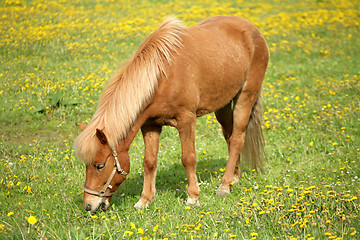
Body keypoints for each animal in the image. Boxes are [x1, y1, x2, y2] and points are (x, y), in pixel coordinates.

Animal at [74, 15, 268, 212]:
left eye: (100, 166)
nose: (89, 205)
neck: (161, 75)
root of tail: (251, 28)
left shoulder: (186, 121)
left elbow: (188, 158)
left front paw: (193, 197)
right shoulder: (150, 125)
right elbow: (149, 162)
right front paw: (145, 200)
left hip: (246, 97)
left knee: (237, 139)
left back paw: (224, 185)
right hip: (224, 104)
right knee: (229, 136)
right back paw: (234, 177)